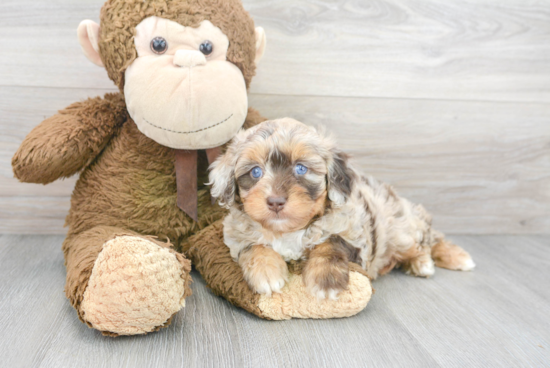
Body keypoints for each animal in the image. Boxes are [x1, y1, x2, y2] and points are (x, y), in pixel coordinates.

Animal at [209, 118, 476, 300]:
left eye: (301, 168)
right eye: (255, 172)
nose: (275, 201)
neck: (287, 231)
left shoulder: (354, 234)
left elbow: (330, 244)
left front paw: (326, 282)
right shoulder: (236, 236)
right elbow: (254, 247)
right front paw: (267, 273)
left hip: (402, 229)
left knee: (428, 240)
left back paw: (434, 261)